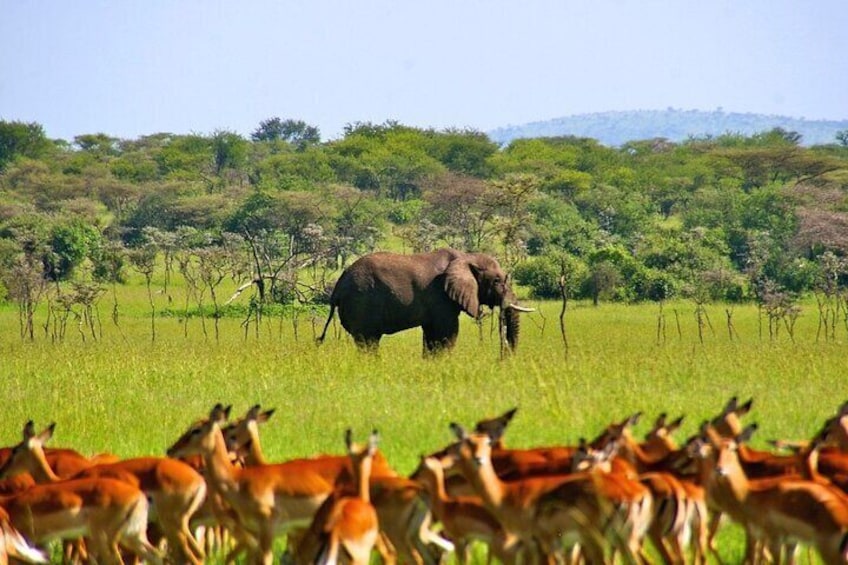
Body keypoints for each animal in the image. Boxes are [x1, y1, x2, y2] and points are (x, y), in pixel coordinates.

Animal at [318, 248, 528, 352]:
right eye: (497, 281)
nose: (504, 357)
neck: (465, 257)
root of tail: (337, 288)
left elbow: (431, 336)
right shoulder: (441, 297)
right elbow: (446, 334)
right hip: (361, 303)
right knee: (368, 341)